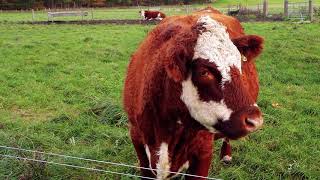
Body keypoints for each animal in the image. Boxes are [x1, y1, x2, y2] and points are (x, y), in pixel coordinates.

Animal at [124, 6, 264, 179]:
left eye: (240, 64)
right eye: (204, 72)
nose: (254, 120)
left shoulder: (203, 151)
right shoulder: (137, 139)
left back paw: (226, 155)